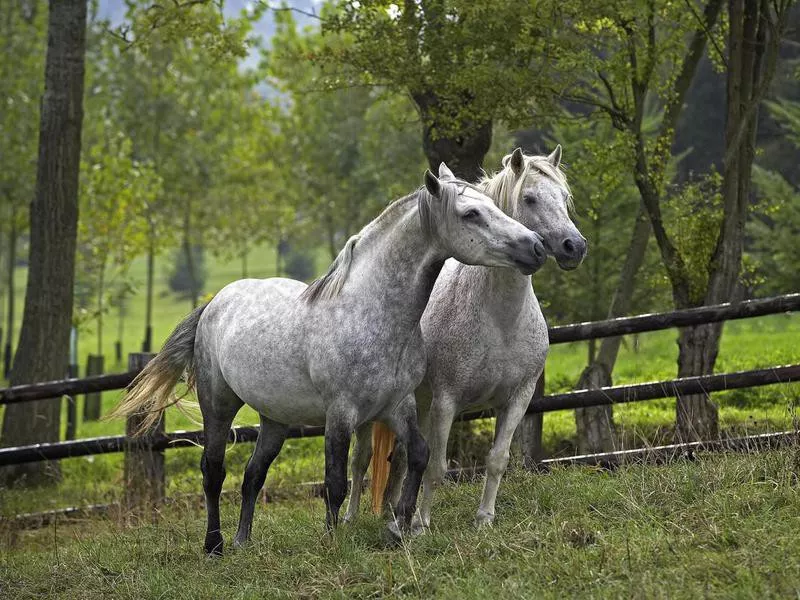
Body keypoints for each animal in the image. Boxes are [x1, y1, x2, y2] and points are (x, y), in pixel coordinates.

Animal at [114, 169, 552, 552]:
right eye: (470, 213)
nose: (535, 247)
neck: (372, 313)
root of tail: (214, 303)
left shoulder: (398, 405)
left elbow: (418, 455)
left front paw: (399, 529)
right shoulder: (341, 413)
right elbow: (336, 482)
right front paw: (333, 540)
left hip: (275, 420)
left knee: (253, 475)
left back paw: (243, 541)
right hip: (218, 405)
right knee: (213, 471)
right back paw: (214, 545)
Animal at [348, 148, 588, 528]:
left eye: (564, 198)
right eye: (529, 198)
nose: (573, 247)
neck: (501, 319)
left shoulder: (517, 400)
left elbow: (497, 459)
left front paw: (484, 519)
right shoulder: (446, 401)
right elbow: (436, 467)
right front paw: (421, 525)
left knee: (398, 458)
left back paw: (391, 512)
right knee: (362, 459)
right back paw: (352, 517)